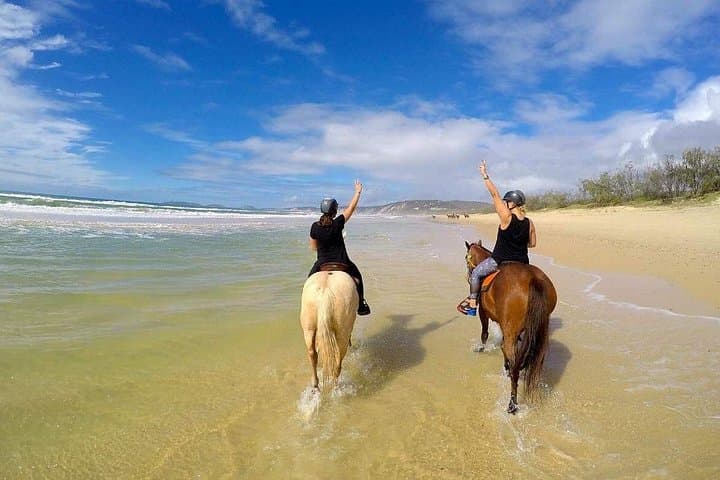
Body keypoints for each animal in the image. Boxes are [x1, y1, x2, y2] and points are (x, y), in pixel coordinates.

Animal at [464, 240, 557, 413]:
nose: (468, 276)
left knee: (514, 364)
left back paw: (512, 403)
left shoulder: (483, 312)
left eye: (467, 258)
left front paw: (481, 348)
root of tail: (534, 279)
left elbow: (484, 333)